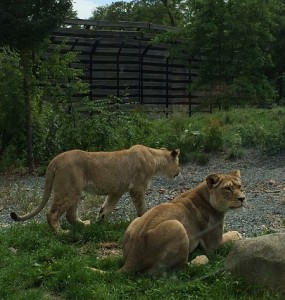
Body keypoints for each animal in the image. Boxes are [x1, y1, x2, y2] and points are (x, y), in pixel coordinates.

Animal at [11, 144, 180, 233]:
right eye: (178, 163)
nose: (178, 172)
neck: (154, 158)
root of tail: (55, 160)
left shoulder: (117, 191)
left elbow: (107, 208)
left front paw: (100, 223)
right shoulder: (137, 188)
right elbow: (141, 207)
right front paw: (142, 219)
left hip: (75, 191)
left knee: (70, 215)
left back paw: (84, 225)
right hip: (69, 191)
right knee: (52, 214)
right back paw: (61, 233)